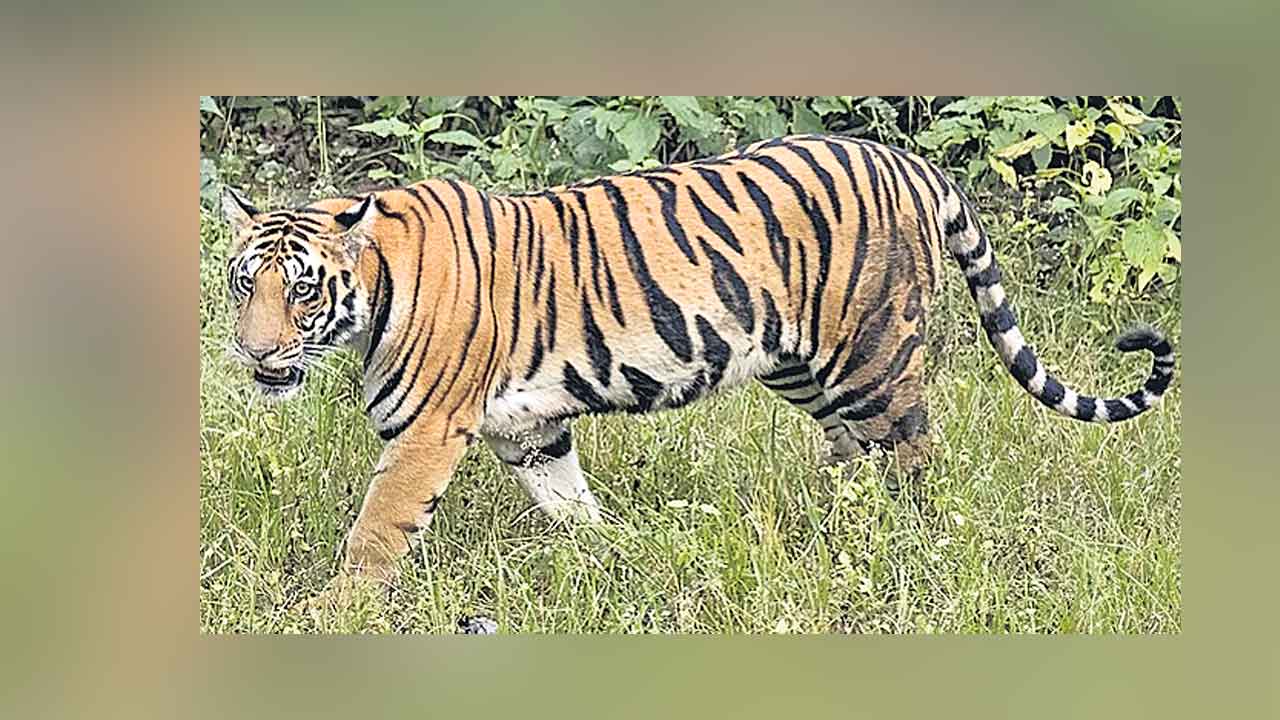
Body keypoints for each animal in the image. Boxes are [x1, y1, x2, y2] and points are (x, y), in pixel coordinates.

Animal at [220, 133, 1175, 587]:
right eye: (242, 285)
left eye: (301, 291)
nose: (254, 351)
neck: (373, 293)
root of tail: (907, 159)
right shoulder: (530, 430)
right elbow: (569, 500)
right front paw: (614, 553)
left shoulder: (426, 432)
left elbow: (377, 530)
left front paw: (337, 613)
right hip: (803, 366)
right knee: (852, 453)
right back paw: (834, 526)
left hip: (872, 358)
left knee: (912, 454)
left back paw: (904, 543)